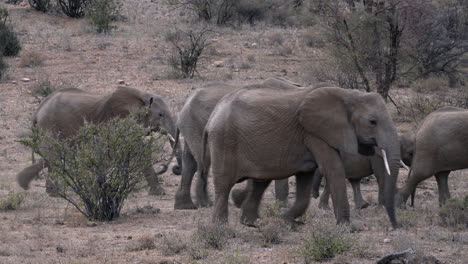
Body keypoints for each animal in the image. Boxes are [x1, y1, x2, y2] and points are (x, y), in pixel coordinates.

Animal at [16, 85, 182, 195]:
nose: (174, 169)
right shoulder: (119, 119)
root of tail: (39, 107)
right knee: (54, 155)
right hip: (50, 124)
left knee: (54, 155)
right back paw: (53, 192)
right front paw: (159, 192)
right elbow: (137, 149)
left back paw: (29, 185)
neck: (142, 96)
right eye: (160, 114)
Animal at [174, 77, 302, 209]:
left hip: (191, 126)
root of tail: (185, 103)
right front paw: (284, 206)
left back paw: (185, 206)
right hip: (197, 126)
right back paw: (205, 204)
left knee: (190, 162)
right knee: (203, 162)